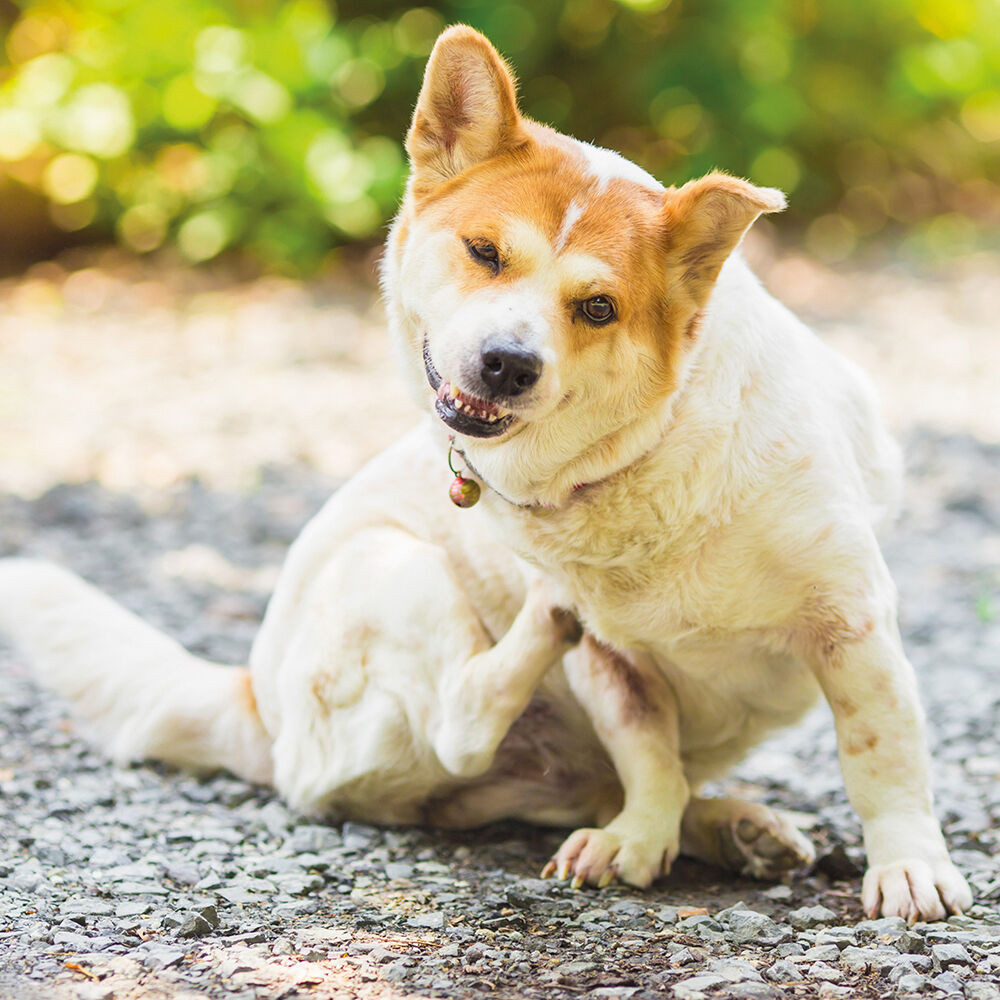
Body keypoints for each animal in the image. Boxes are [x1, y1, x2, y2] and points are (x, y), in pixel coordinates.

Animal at [0, 29, 968, 920]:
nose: (507, 363)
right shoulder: (614, 664)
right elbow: (647, 752)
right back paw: (567, 657)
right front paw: (640, 838)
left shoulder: (852, 624)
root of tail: (255, 702)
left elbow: (880, 753)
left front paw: (907, 867)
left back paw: (733, 826)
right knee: (462, 724)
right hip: (395, 570)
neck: (646, 456)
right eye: (485, 252)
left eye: (598, 308)